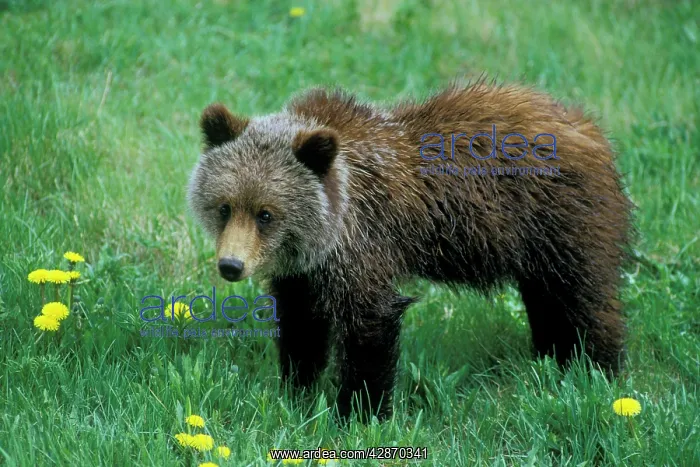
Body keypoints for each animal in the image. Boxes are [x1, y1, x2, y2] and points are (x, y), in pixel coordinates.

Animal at [187, 79, 634, 421]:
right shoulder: (304, 272)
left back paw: (596, 372)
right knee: (546, 299)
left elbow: (370, 326)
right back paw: (549, 356)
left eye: (266, 213)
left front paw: (359, 413)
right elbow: (302, 326)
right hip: (534, 246)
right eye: (225, 206)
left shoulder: (364, 243)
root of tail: (589, 127)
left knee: (584, 299)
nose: (231, 265)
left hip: (563, 222)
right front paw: (297, 392)